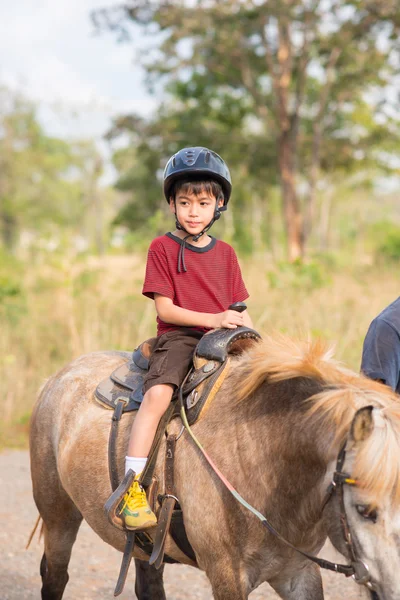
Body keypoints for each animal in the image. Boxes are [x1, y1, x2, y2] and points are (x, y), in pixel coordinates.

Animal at [28, 332, 400, 600]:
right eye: (365, 510)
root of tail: (57, 378)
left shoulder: (298, 573)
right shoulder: (227, 577)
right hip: (59, 517)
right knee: (55, 577)